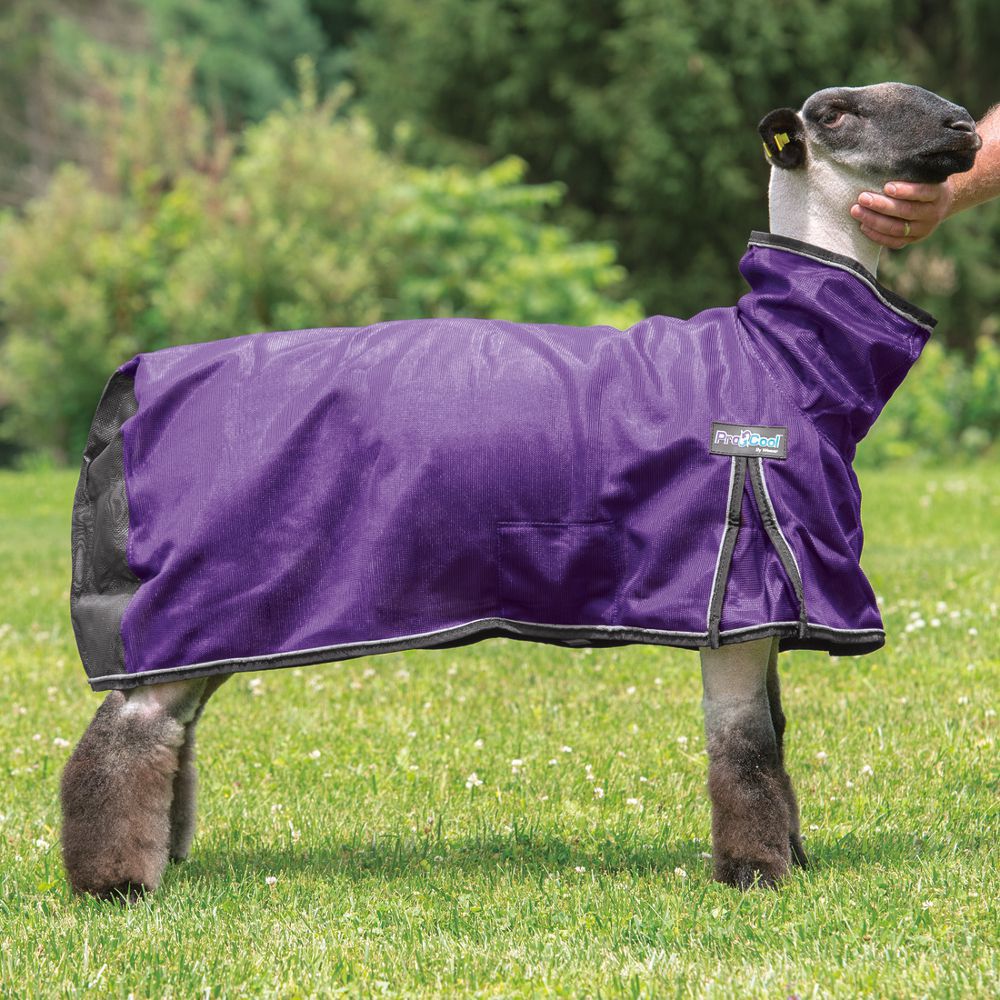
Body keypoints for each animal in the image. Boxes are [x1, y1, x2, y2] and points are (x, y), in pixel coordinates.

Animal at [61, 82, 980, 899]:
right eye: (837, 113)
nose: (967, 128)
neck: (781, 353)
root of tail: (134, 386)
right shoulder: (738, 588)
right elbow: (746, 749)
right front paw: (758, 876)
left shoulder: (771, 599)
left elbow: (777, 740)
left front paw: (791, 858)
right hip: (201, 594)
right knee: (128, 734)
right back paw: (113, 883)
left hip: (219, 619)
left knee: (171, 727)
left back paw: (164, 856)